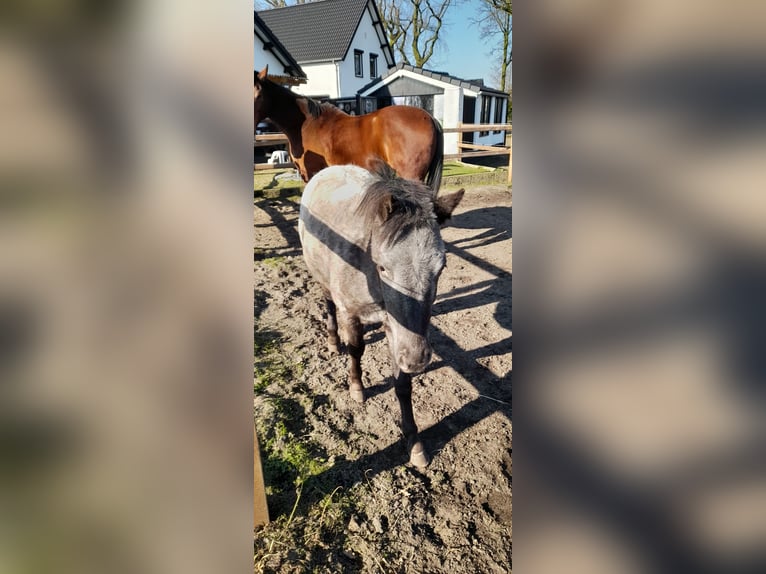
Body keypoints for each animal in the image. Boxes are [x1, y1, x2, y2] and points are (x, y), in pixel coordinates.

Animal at [298, 162, 464, 468]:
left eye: (442, 267)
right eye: (383, 267)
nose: (418, 359)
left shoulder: (398, 331)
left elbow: (403, 385)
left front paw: (414, 443)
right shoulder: (351, 313)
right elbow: (356, 349)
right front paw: (356, 388)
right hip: (321, 278)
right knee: (328, 304)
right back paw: (332, 341)